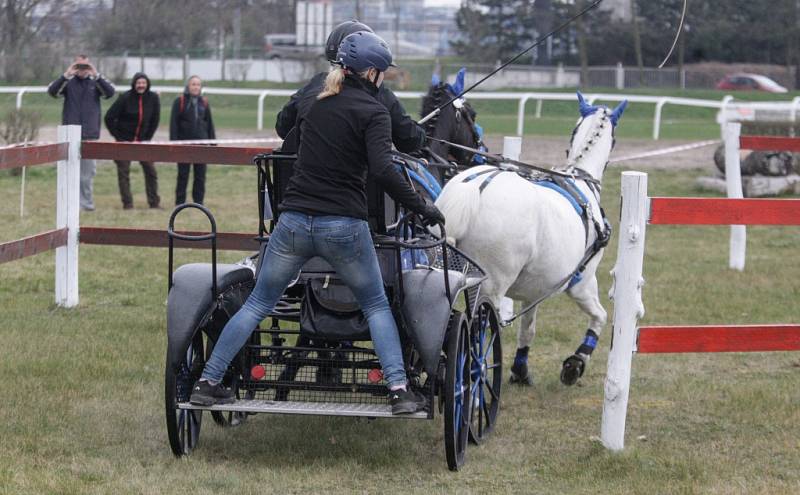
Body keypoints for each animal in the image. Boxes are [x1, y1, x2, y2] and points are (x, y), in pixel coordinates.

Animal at [438, 94, 624, 388]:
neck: (580, 179)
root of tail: (475, 186)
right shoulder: (582, 283)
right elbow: (600, 317)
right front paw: (575, 364)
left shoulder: (534, 289)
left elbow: (528, 329)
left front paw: (520, 369)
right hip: (492, 286)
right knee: (480, 332)